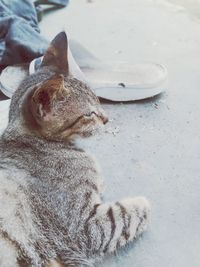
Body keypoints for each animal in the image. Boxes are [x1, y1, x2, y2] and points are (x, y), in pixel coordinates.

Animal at [0, 31, 150, 267]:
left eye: (97, 99)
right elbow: (127, 212)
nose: (107, 119)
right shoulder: (84, 227)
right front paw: (144, 203)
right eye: (88, 114)